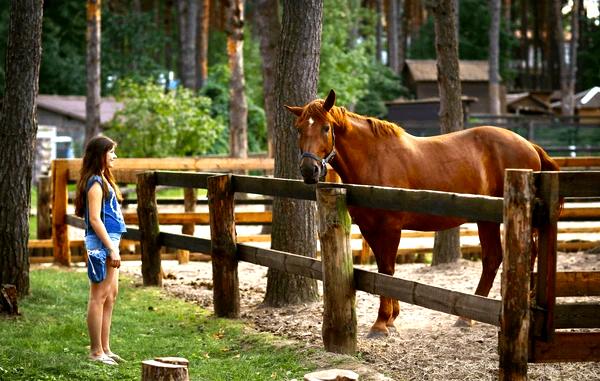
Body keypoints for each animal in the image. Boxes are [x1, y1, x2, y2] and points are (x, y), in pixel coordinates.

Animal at [286, 89, 556, 336]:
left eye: (326, 128)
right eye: (299, 129)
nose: (309, 170)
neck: (374, 159)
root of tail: (529, 145)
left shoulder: (390, 229)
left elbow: (388, 270)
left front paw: (381, 322)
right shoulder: (369, 228)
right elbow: (384, 269)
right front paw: (392, 317)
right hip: (486, 219)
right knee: (493, 258)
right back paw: (469, 316)